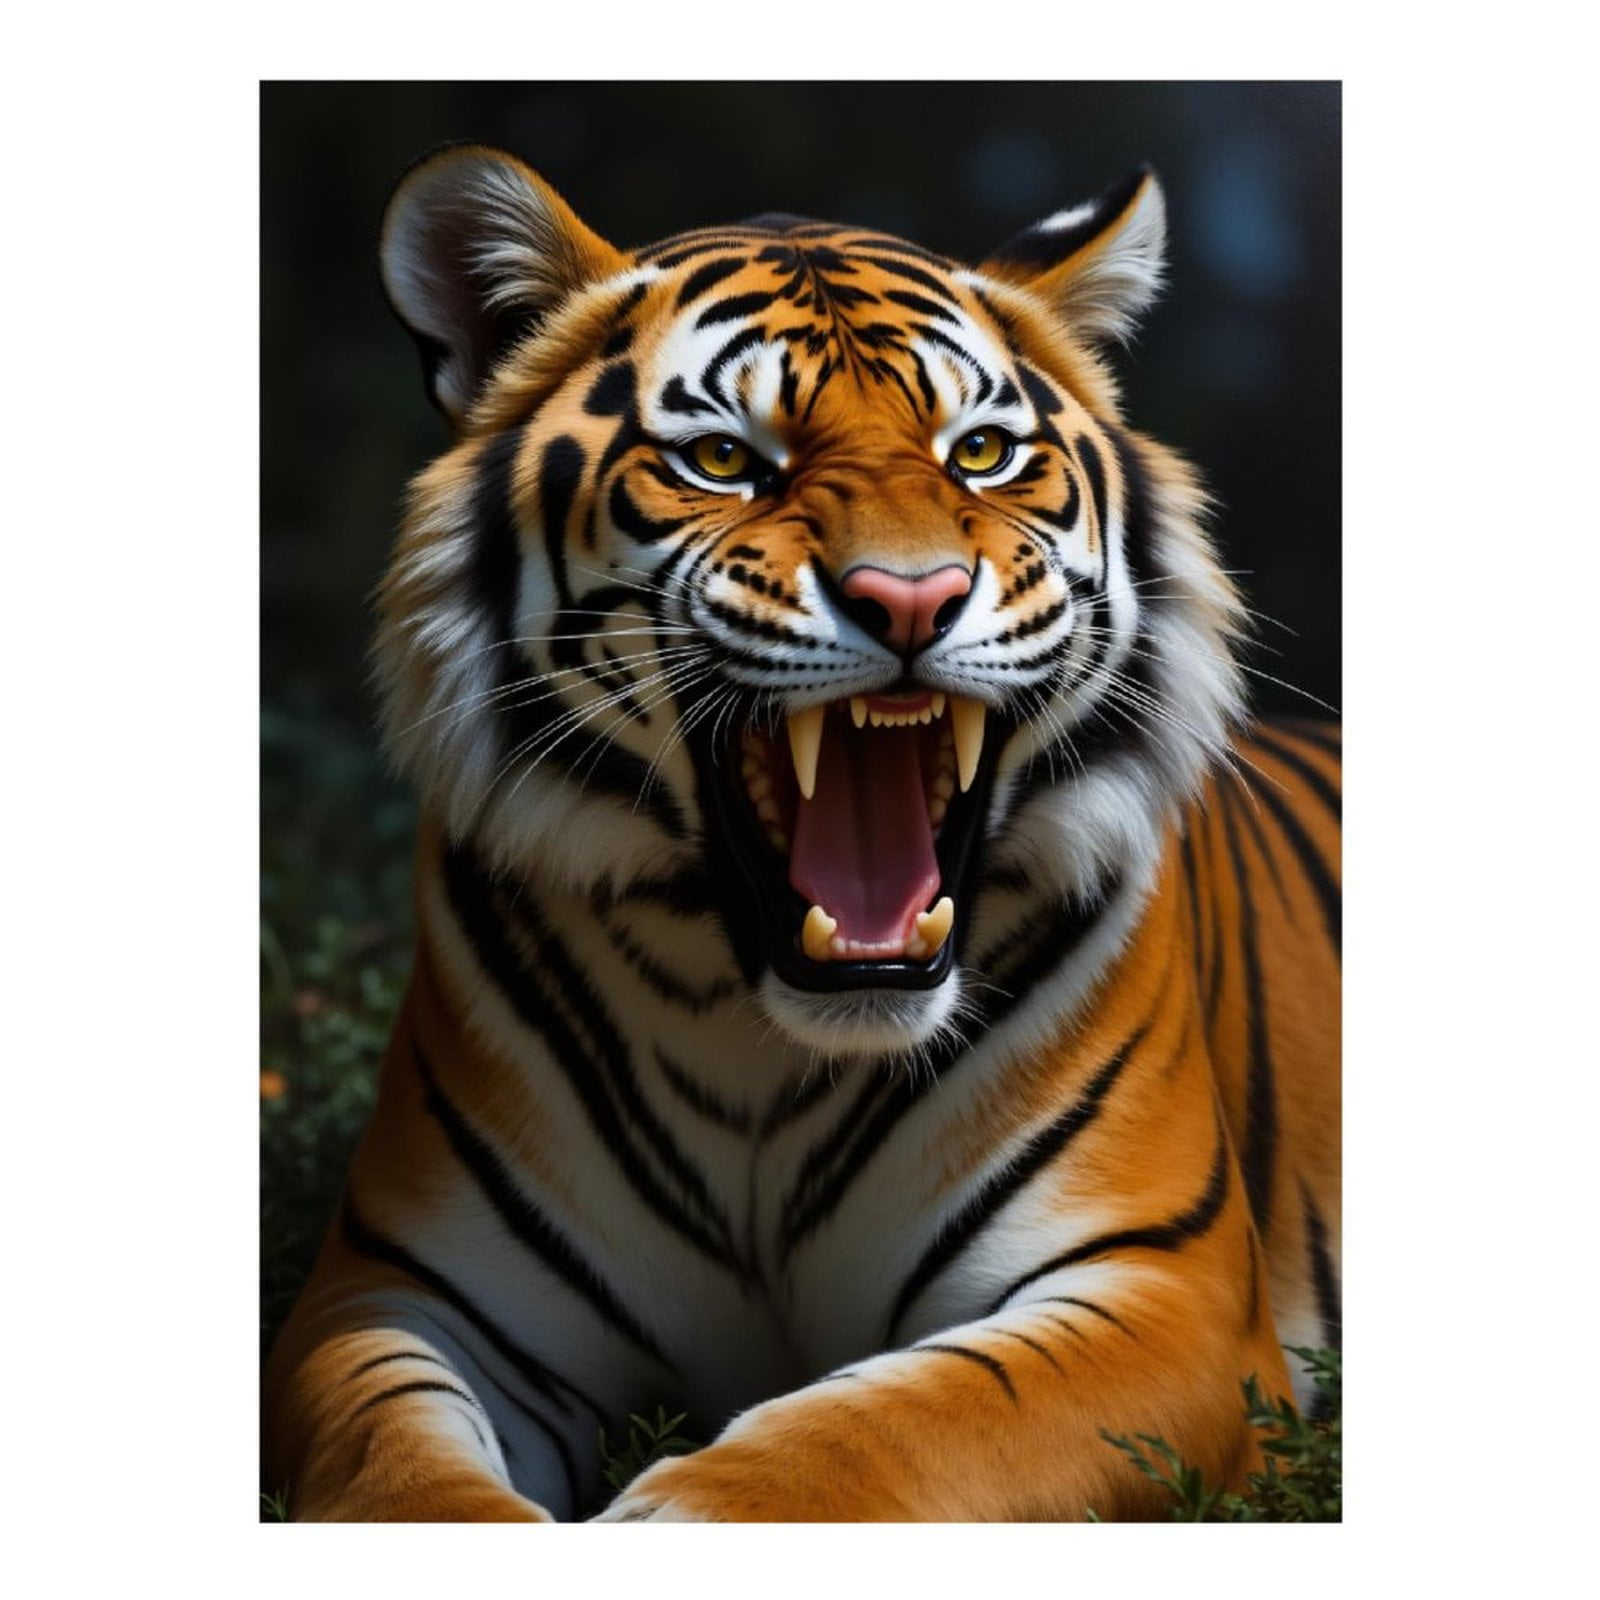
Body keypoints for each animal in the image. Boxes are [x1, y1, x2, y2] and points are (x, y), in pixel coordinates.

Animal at [262, 143, 1340, 1522]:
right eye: (725, 460)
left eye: (980, 453)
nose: (912, 597)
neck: (762, 1048)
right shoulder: (401, 1294)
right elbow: (397, 1469)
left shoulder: (1160, 1284)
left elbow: (881, 1429)